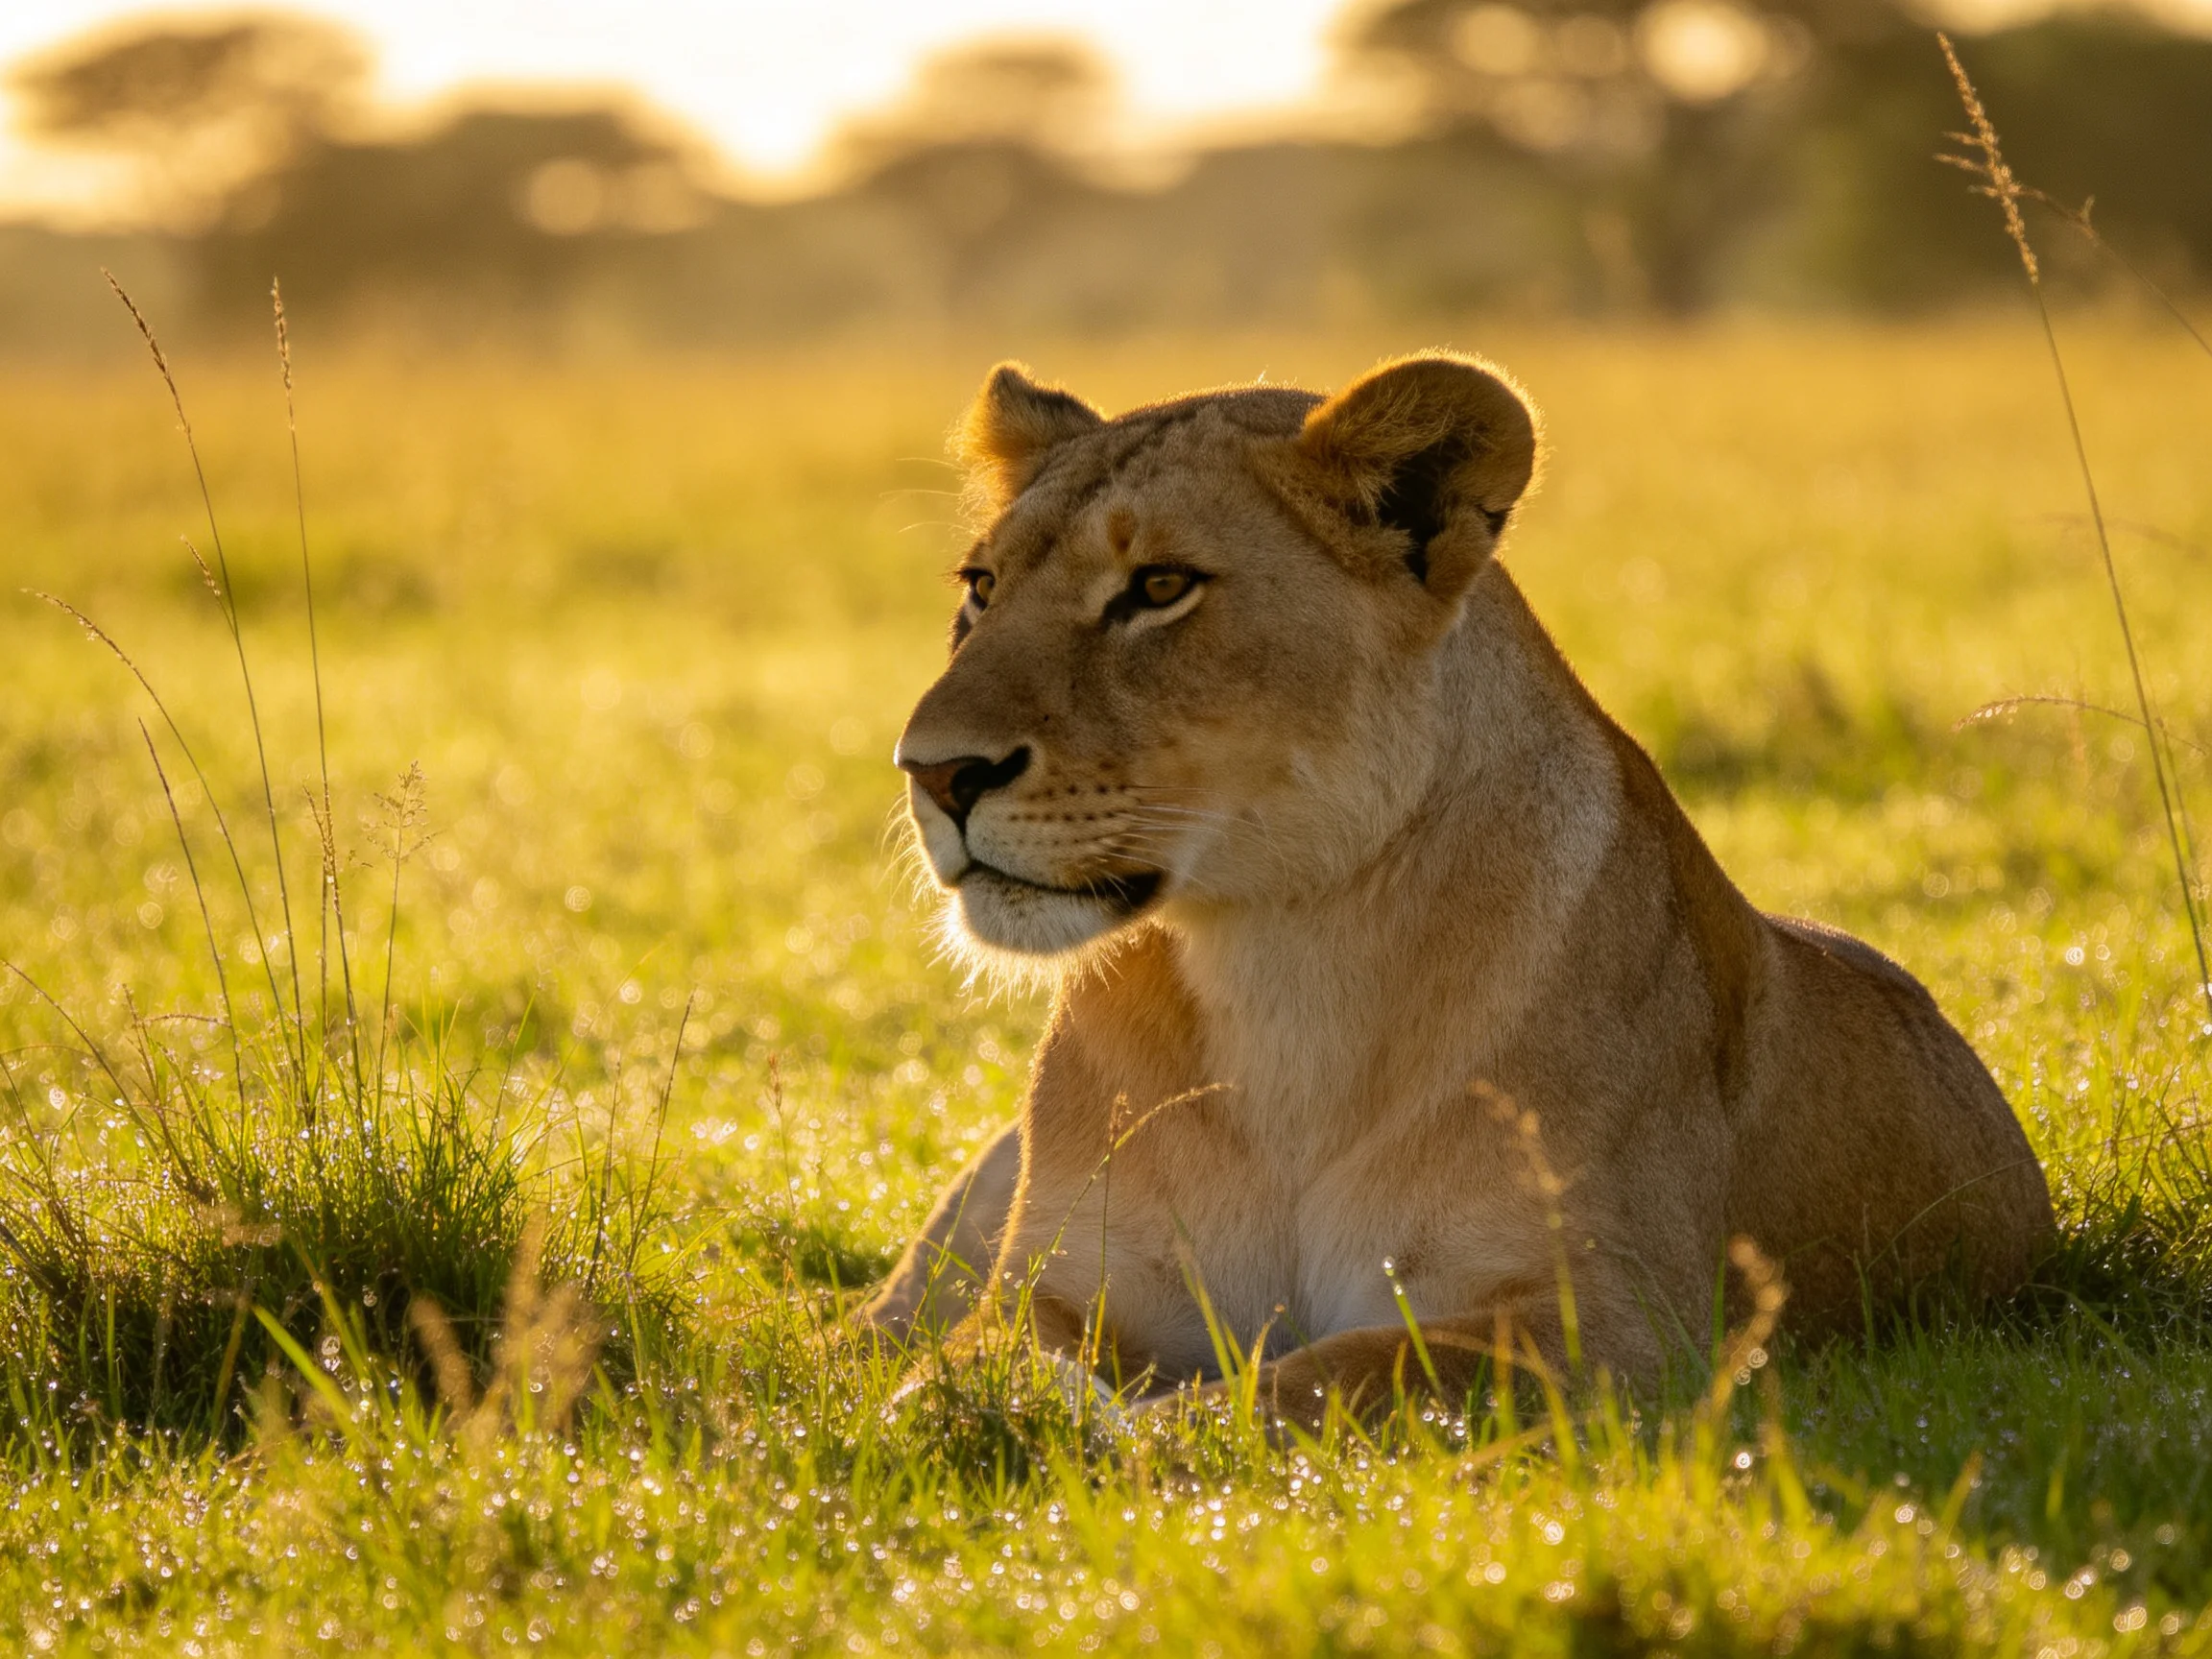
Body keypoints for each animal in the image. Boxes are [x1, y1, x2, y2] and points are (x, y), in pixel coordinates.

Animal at [857, 352, 2053, 1426]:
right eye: (981, 589)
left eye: (1159, 588)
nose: (932, 772)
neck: (1271, 963)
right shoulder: (1063, 1284)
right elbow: (973, 1367)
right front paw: (988, 1416)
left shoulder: (1625, 1329)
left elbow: (1333, 1375)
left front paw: (1157, 1430)